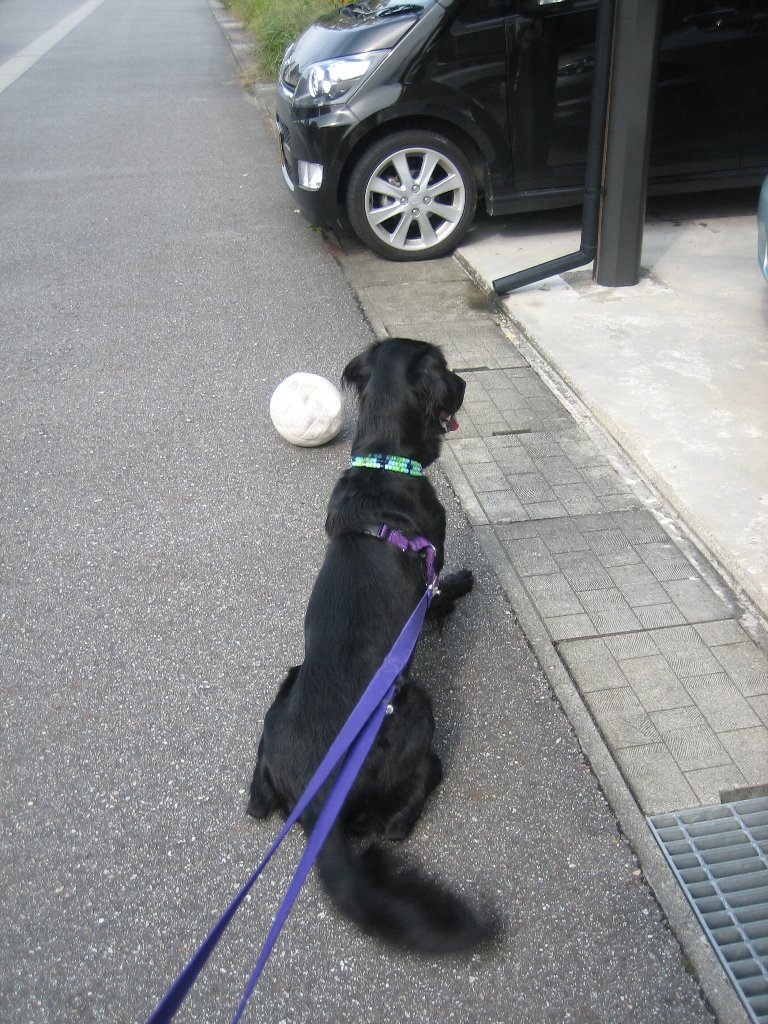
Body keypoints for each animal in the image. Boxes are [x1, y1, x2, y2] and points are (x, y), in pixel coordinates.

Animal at [248, 338, 494, 954]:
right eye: (447, 369)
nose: (466, 383)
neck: (384, 461)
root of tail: (318, 809)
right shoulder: (431, 563)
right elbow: (442, 588)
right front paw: (463, 585)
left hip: (287, 683)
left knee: (256, 800)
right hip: (415, 705)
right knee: (401, 818)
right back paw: (427, 780)